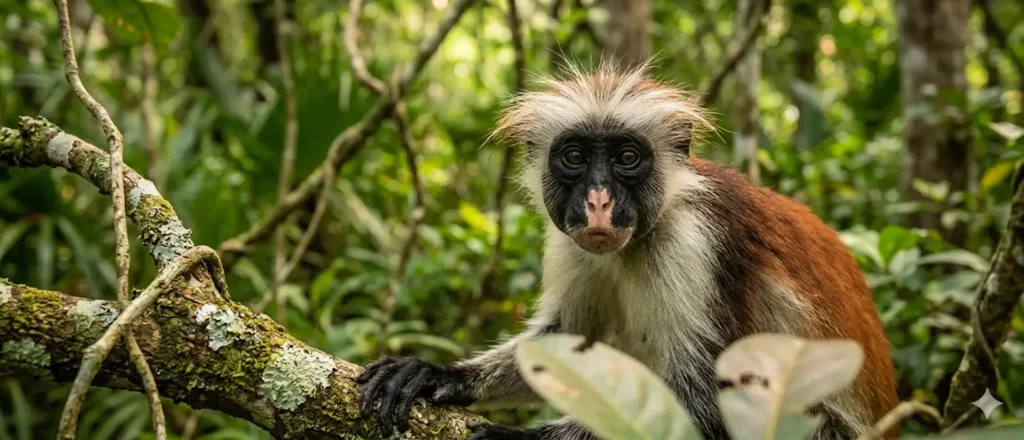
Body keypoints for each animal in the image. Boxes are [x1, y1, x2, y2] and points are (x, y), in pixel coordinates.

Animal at [355, 59, 899, 440]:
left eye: (628, 157)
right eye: (575, 156)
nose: (598, 201)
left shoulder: (694, 243)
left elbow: (710, 406)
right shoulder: (572, 240)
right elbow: (567, 341)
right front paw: (435, 373)